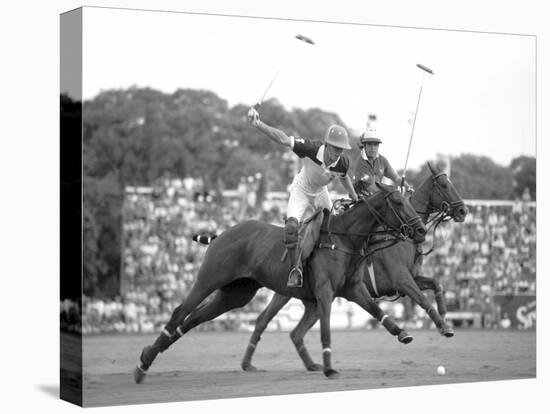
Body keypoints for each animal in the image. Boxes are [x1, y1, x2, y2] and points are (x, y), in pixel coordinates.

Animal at [133, 184, 426, 382]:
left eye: (408, 199)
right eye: (398, 202)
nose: (421, 230)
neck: (343, 239)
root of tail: (220, 234)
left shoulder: (354, 289)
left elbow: (378, 311)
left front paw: (403, 333)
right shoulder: (325, 292)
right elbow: (326, 329)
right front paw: (329, 367)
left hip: (236, 294)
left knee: (194, 319)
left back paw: (147, 355)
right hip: (209, 278)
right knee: (180, 312)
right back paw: (143, 366)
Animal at [239, 163, 468, 374]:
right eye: (444, 185)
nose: (463, 211)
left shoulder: (411, 277)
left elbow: (436, 284)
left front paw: (444, 314)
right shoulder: (401, 279)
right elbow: (422, 299)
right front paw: (445, 327)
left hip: (310, 300)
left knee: (293, 332)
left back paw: (310, 365)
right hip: (288, 292)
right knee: (263, 320)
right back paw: (249, 363)